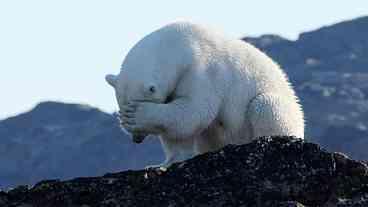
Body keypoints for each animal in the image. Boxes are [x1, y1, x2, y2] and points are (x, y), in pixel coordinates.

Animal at [104, 22, 304, 168]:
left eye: (131, 106)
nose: (136, 140)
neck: (178, 44)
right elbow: (178, 130)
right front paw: (162, 164)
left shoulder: (202, 70)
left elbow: (195, 110)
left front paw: (138, 115)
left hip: (282, 109)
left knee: (265, 106)